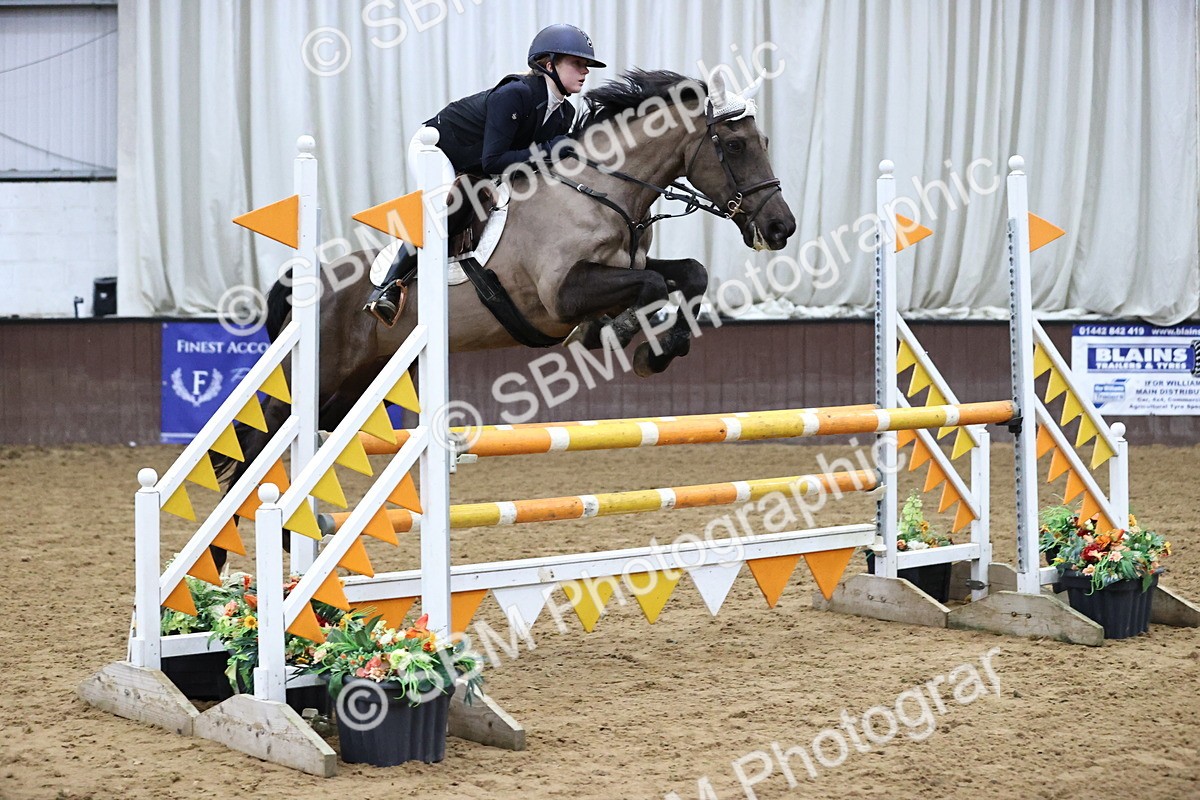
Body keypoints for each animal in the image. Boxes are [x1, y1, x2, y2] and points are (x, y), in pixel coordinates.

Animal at [211, 69, 796, 568]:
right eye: (736, 145)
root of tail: (308, 282)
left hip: (352, 388)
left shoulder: (623, 269)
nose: (781, 227)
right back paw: (232, 560)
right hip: (315, 375)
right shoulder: (562, 296)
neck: (602, 191)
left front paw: (659, 350)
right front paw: (624, 335)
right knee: (250, 451)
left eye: (765, 141)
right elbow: (650, 289)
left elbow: (690, 274)